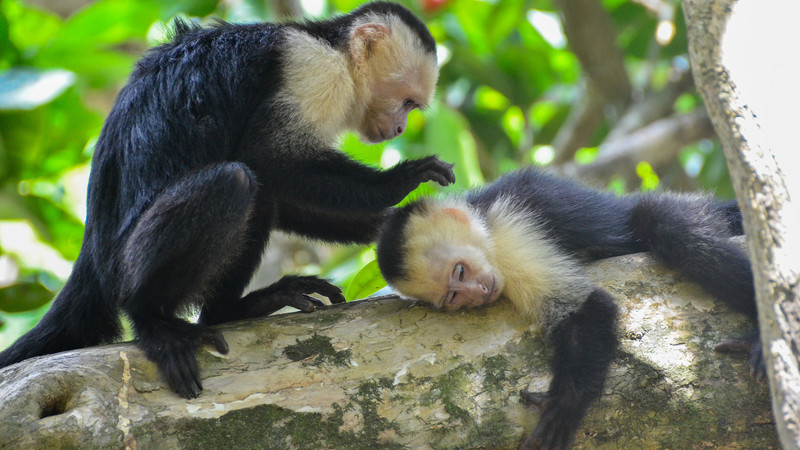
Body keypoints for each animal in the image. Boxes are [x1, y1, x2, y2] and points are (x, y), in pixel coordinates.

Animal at [0, 2, 456, 399]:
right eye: (408, 102)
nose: (400, 129)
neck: (332, 49)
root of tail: (91, 256)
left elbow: (282, 192)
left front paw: (402, 230)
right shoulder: (311, 70)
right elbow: (268, 160)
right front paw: (403, 179)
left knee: (257, 197)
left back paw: (234, 309)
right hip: (122, 267)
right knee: (234, 181)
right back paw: (154, 321)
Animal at [375, 167, 757, 449]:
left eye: (460, 271)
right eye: (452, 297)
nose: (477, 293)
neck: (486, 220)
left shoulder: (513, 232)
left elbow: (586, 307)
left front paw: (564, 407)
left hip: (699, 211)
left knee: (667, 224)